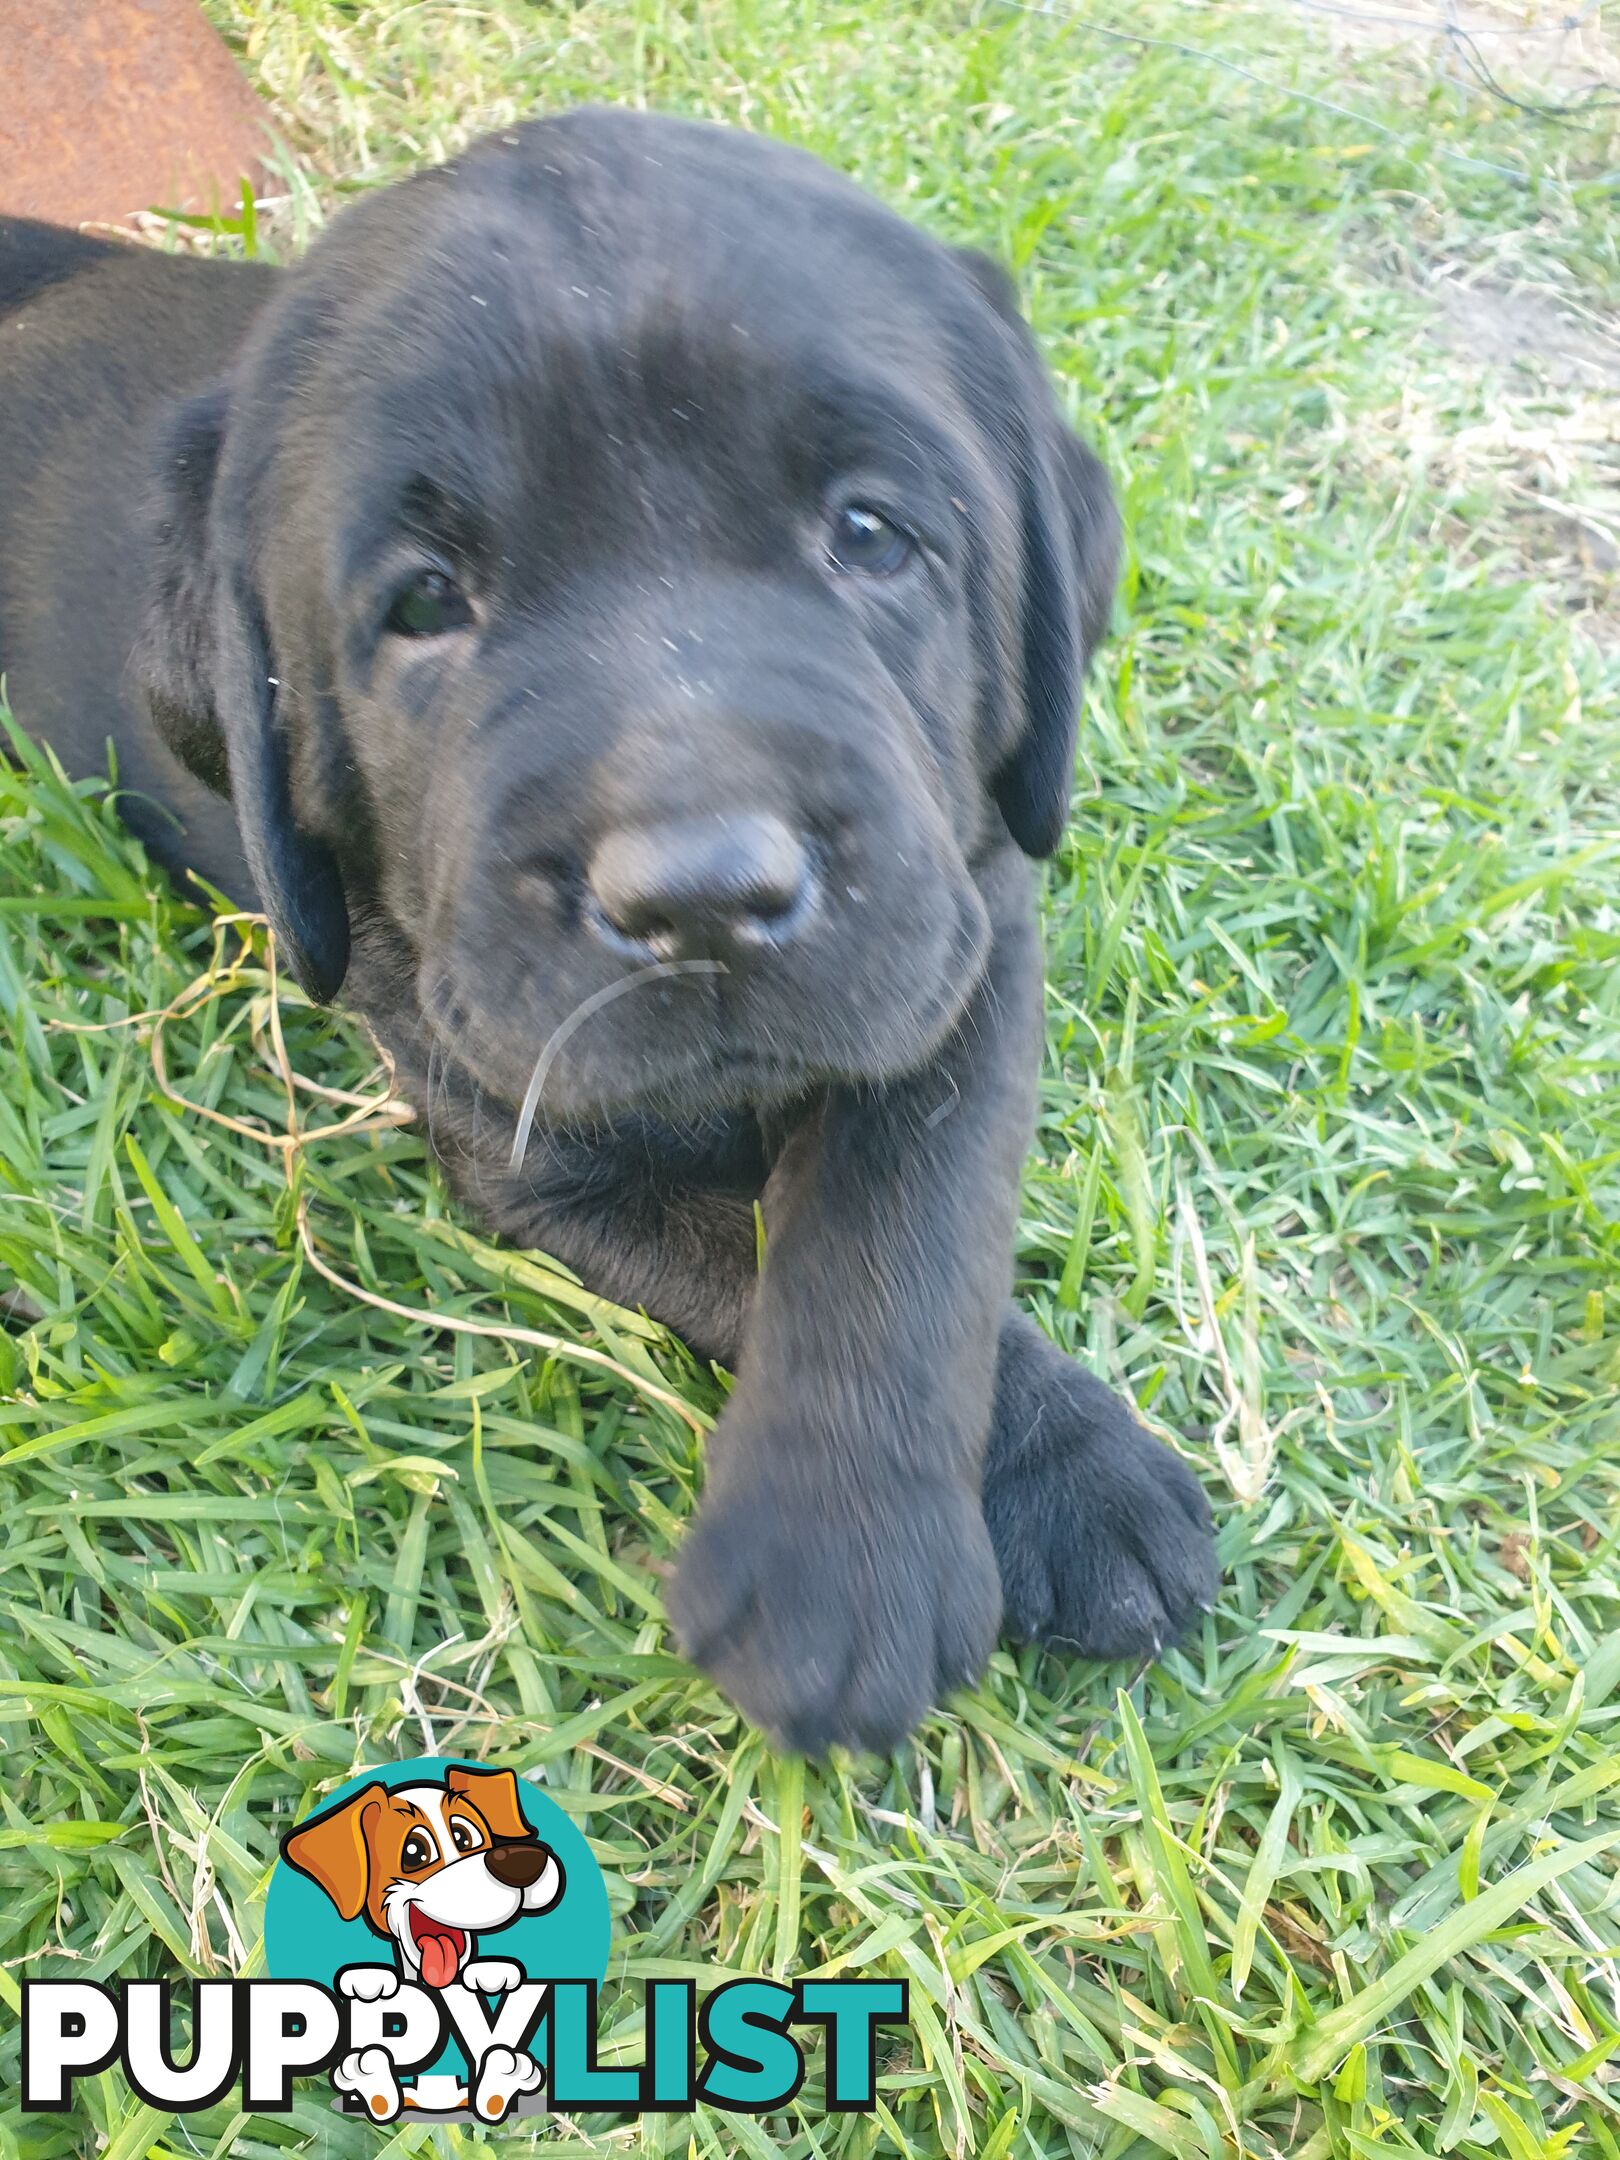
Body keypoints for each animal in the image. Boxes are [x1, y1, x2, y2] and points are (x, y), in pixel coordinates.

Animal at [0, 105, 1218, 1753]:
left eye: (872, 535)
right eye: (425, 602)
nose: (701, 894)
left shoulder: (968, 908)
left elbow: (909, 1221)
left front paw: (996, 1489)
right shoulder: (525, 1134)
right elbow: (751, 1249)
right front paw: (848, 1560)